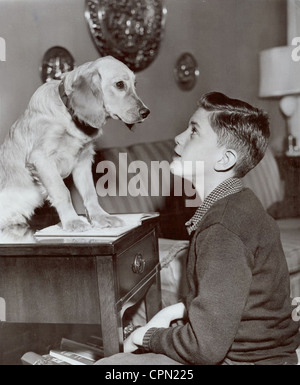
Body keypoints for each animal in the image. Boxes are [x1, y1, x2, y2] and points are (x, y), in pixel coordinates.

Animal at [0, 55, 150, 242]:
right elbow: (62, 192)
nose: (146, 112)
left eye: (135, 84)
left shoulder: (83, 161)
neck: (69, 116)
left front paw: (100, 217)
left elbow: (90, 193)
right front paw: (72, 221)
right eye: (120, 84)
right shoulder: (41, 159)